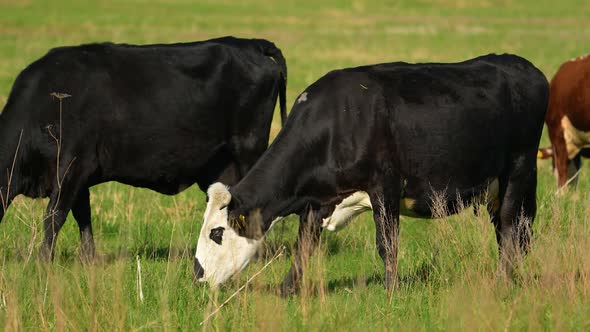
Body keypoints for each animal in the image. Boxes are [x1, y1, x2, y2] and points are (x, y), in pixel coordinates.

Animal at [0, 36, 290, 260]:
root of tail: (250, 43)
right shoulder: (78, 176)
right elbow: (83, 216)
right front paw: (89, 260)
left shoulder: (74, 164)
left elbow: (54, 215)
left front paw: (42, 263)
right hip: (223, 165)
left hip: (249, 150)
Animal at [194, 53, 552, 294]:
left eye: (217, 232)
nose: (197, 274)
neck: (337, 122)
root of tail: (521, 64)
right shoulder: (316, 201)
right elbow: (304, 246)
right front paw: (288, 291)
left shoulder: (385, 186)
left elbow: (387, 244)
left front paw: (391, 292)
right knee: (513, 232)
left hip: (519, 170)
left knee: (511, 227)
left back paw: (503, 281)